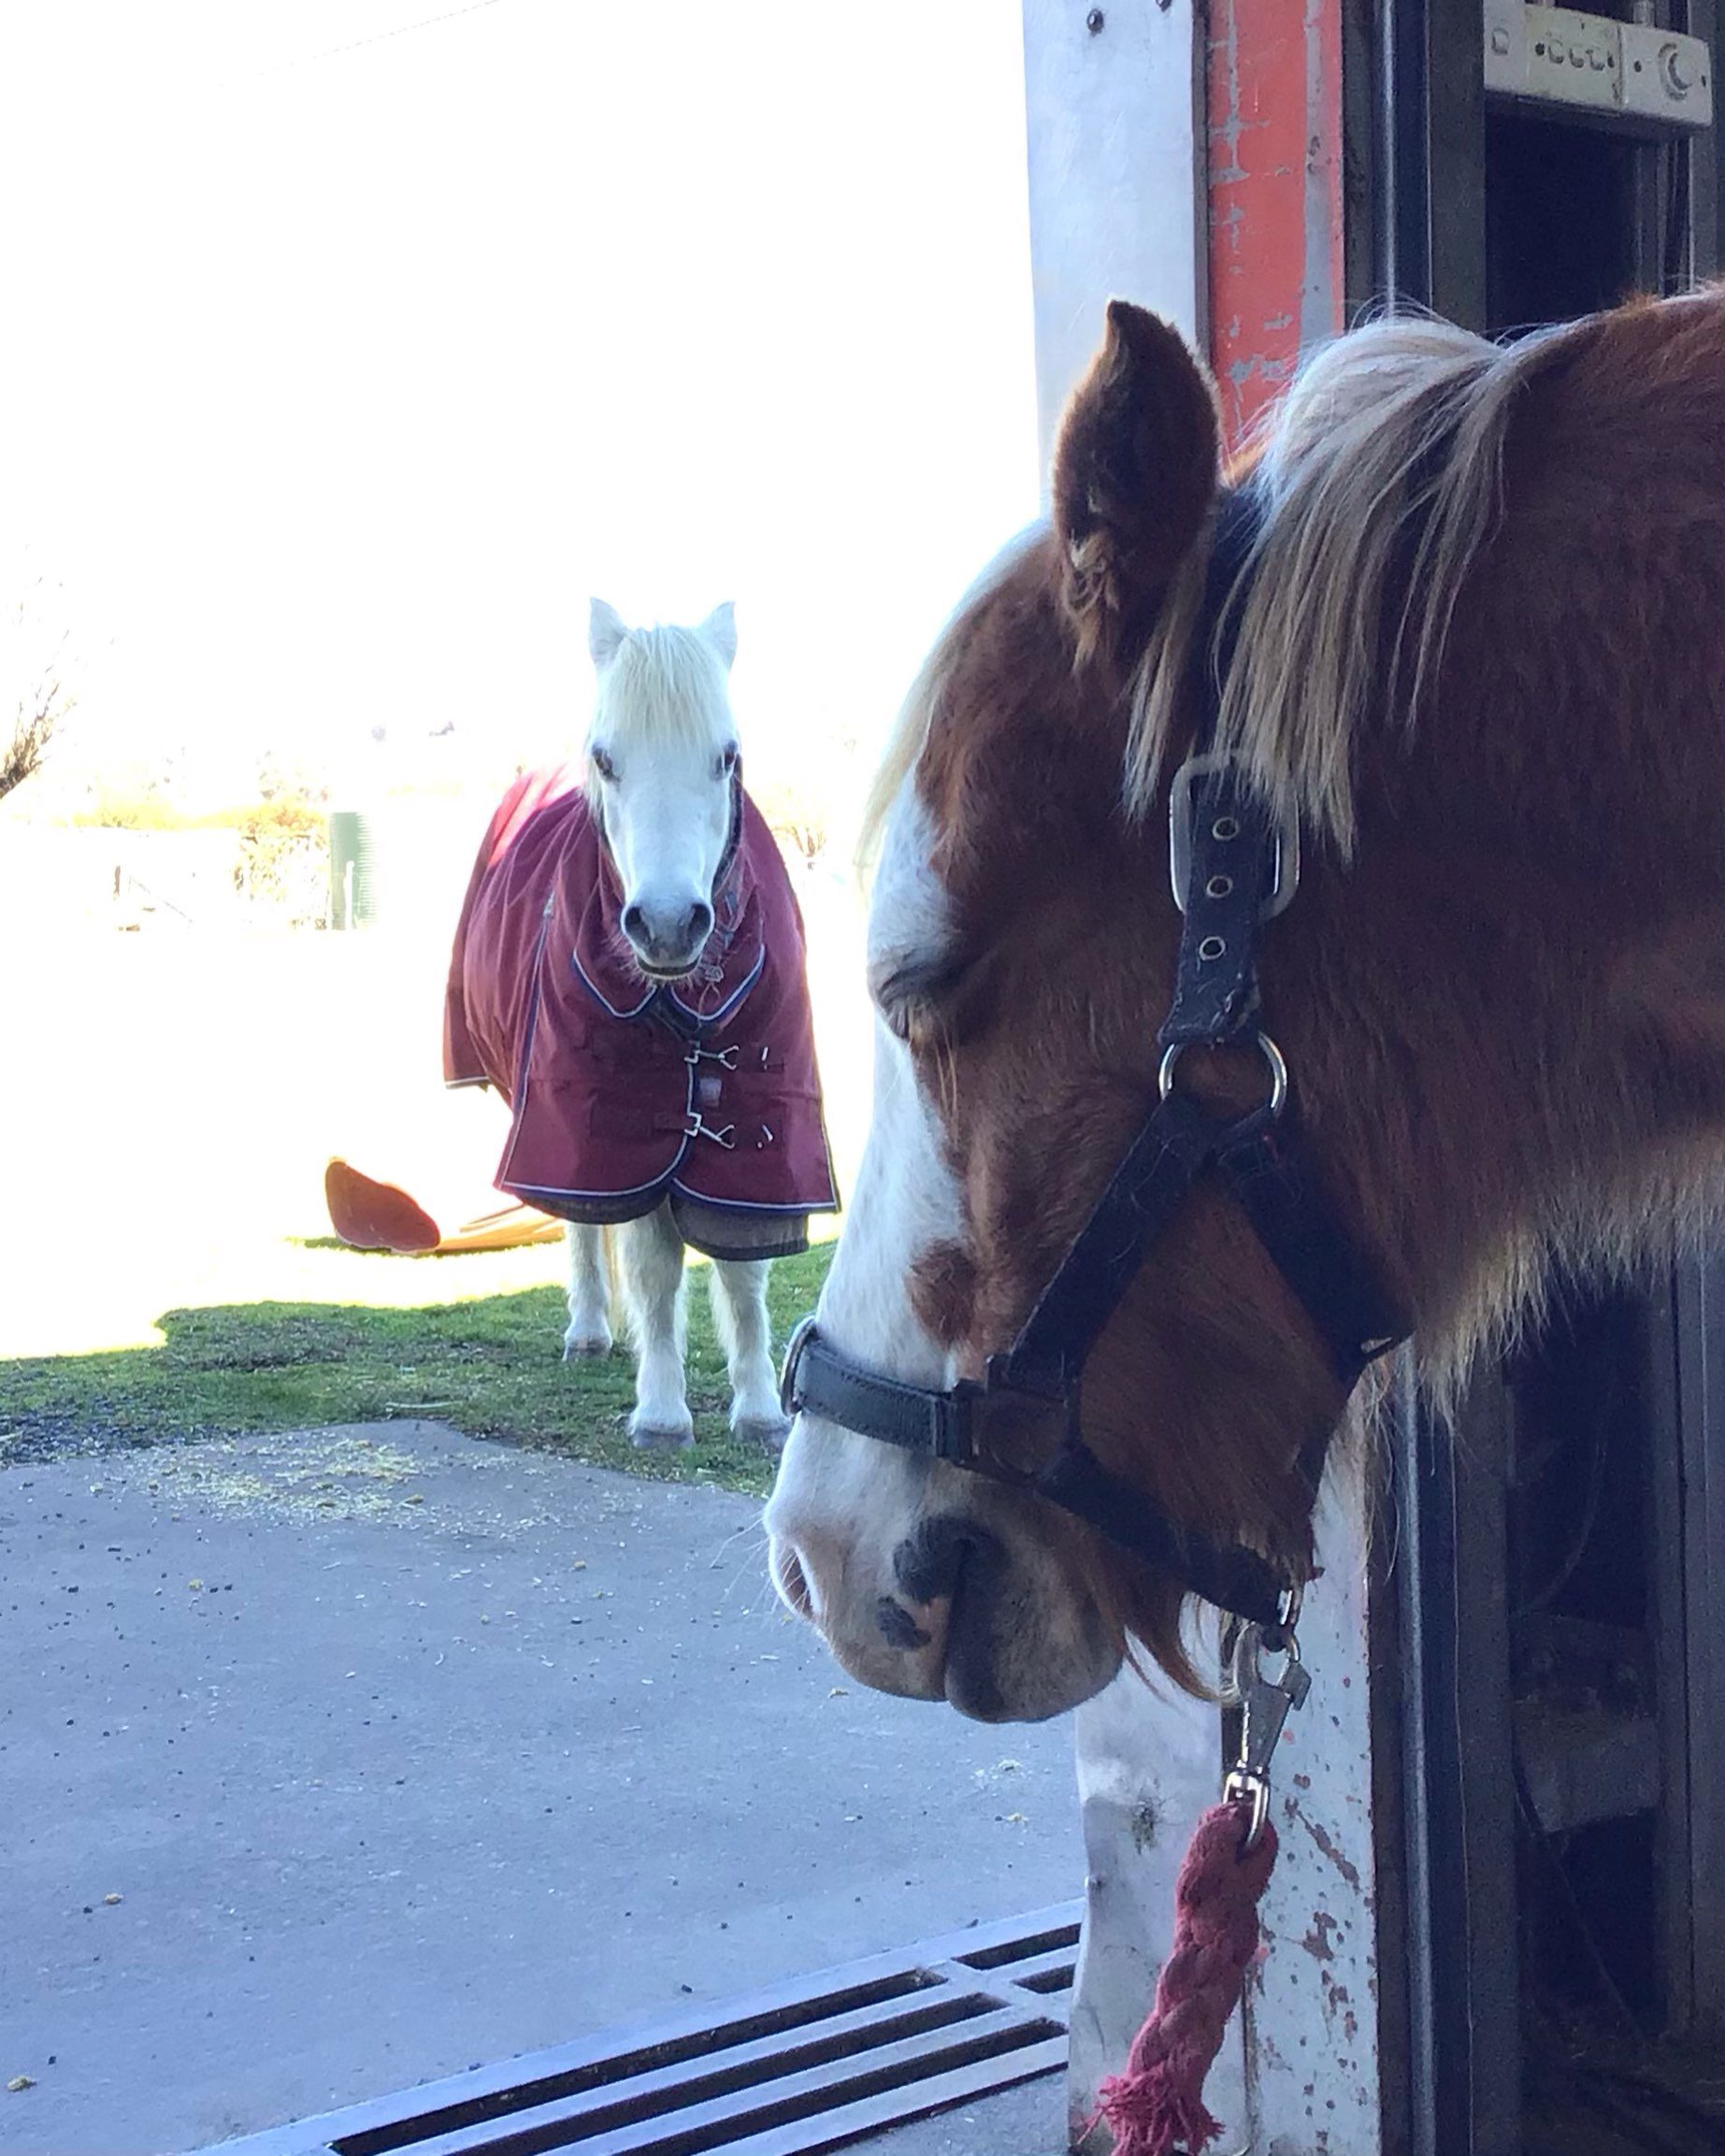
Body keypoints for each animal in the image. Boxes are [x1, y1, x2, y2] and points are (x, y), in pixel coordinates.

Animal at [444, 599, 838, 1450]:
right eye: (607, 758)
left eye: (726, 757)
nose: (664, 925)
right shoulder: (615, 1123)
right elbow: (654, 1265)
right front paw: (661, 1409)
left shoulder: (761, 1121)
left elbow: (744, 1271)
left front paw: (759, 1408)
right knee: (580, 1225)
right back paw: (591, 1329)